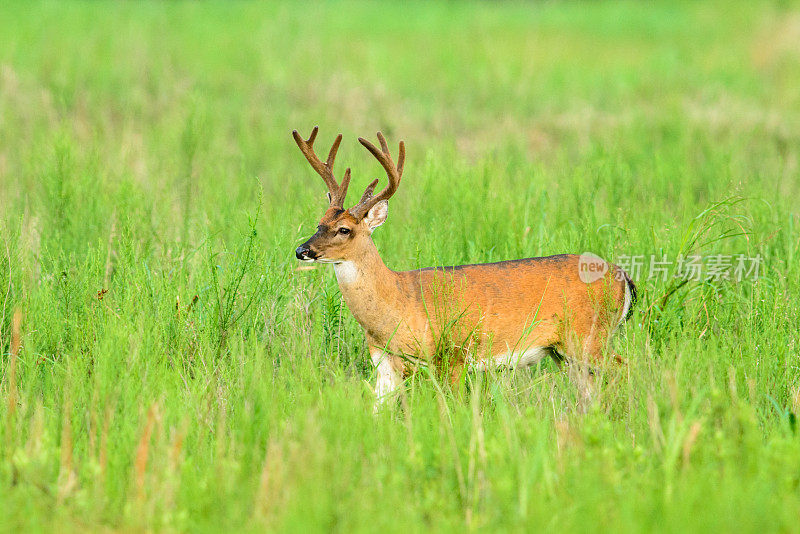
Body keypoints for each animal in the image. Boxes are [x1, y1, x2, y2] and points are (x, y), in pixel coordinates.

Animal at [294, 126, 636, 410]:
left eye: (344, 230)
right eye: (319, 223)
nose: (302, 250)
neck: (398, 304)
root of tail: (623, 277)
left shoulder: (453, 353)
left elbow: (451, 408)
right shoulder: (384, 364)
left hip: (590, 335)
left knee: (626, 367)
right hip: (565, 350)